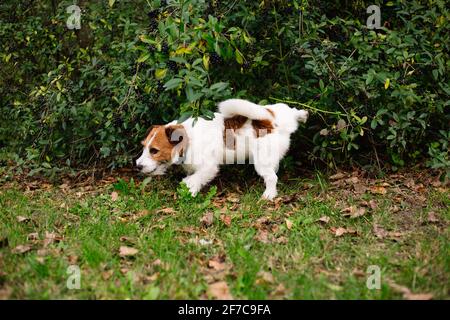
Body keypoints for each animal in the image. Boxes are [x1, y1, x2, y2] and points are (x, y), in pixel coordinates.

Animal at [135, 99, 308, 200]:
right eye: (144, 146)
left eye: (154, 150)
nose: (138, 166)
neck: (189, 139)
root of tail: (270, 121)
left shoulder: (209, 167)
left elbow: (197, 178)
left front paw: (190, 189)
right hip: (274, 110)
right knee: (291, 110)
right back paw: (301, 114)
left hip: (262, 162)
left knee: (272, 178)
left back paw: (269, 194)